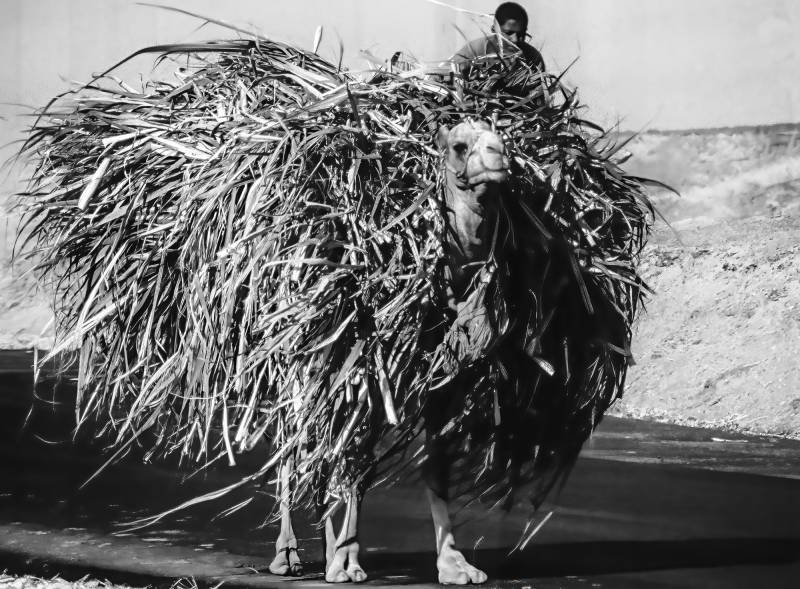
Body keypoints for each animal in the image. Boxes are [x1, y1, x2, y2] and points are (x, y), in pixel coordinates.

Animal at [268, 118, 506, 584]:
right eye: (459, 145)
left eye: (500, 138)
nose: (499, 155)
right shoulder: (375, 367)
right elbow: (357, 461)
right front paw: (346, 560)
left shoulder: (439, 378)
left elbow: (435, 464)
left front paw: (454, 564)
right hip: (299, 356)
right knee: (297, 440)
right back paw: (287, 553)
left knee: (324, 444)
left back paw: (326, 547)